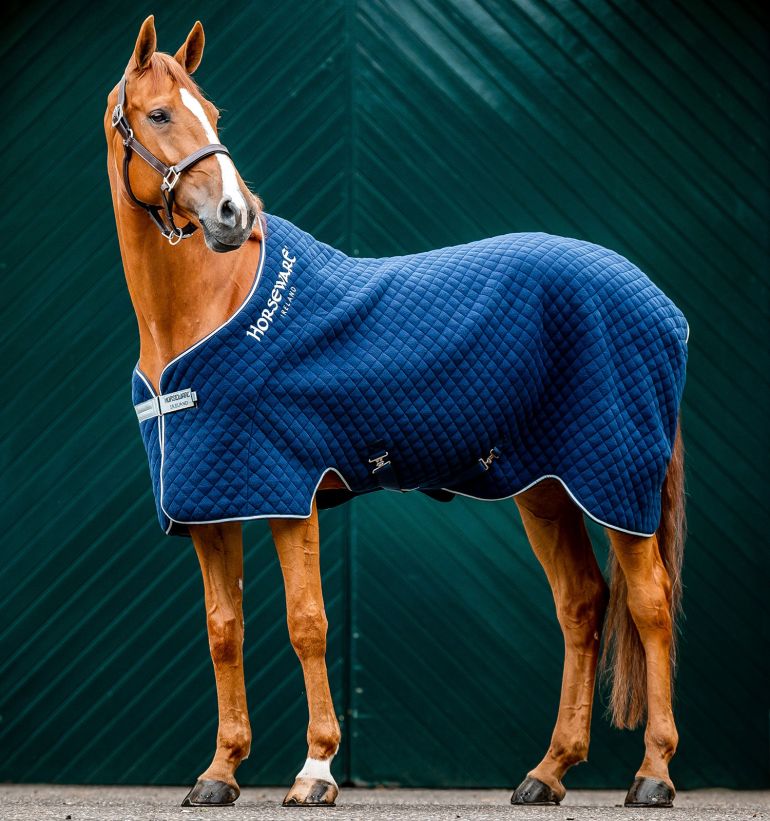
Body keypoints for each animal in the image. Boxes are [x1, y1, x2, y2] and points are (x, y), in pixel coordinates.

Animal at [105, 16, 686, 810]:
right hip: (546, 488)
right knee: (582, 604)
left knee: (652, 604)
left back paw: (653, 774)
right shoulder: (211, 503)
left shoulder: (288, 492)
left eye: (213, 114)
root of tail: (660, 304)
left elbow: (308, 623)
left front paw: (316, 772)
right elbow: (224, 630)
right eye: (161, 114)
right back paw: (547, 772)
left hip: (616, 481)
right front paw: (218, 774)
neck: (207, 308)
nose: (233, 214)